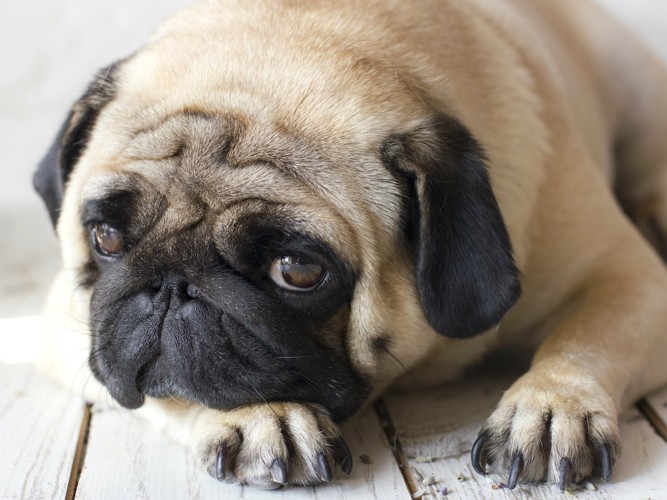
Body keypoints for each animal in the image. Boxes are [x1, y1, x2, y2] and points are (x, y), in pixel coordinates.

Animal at [32, 0, 667, 492]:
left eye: (296, 270)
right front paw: (262, 417)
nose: (172, 285)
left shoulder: (629, 278)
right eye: (106, 237)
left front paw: (552, 408)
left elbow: (583, 341)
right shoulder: (68, 327)